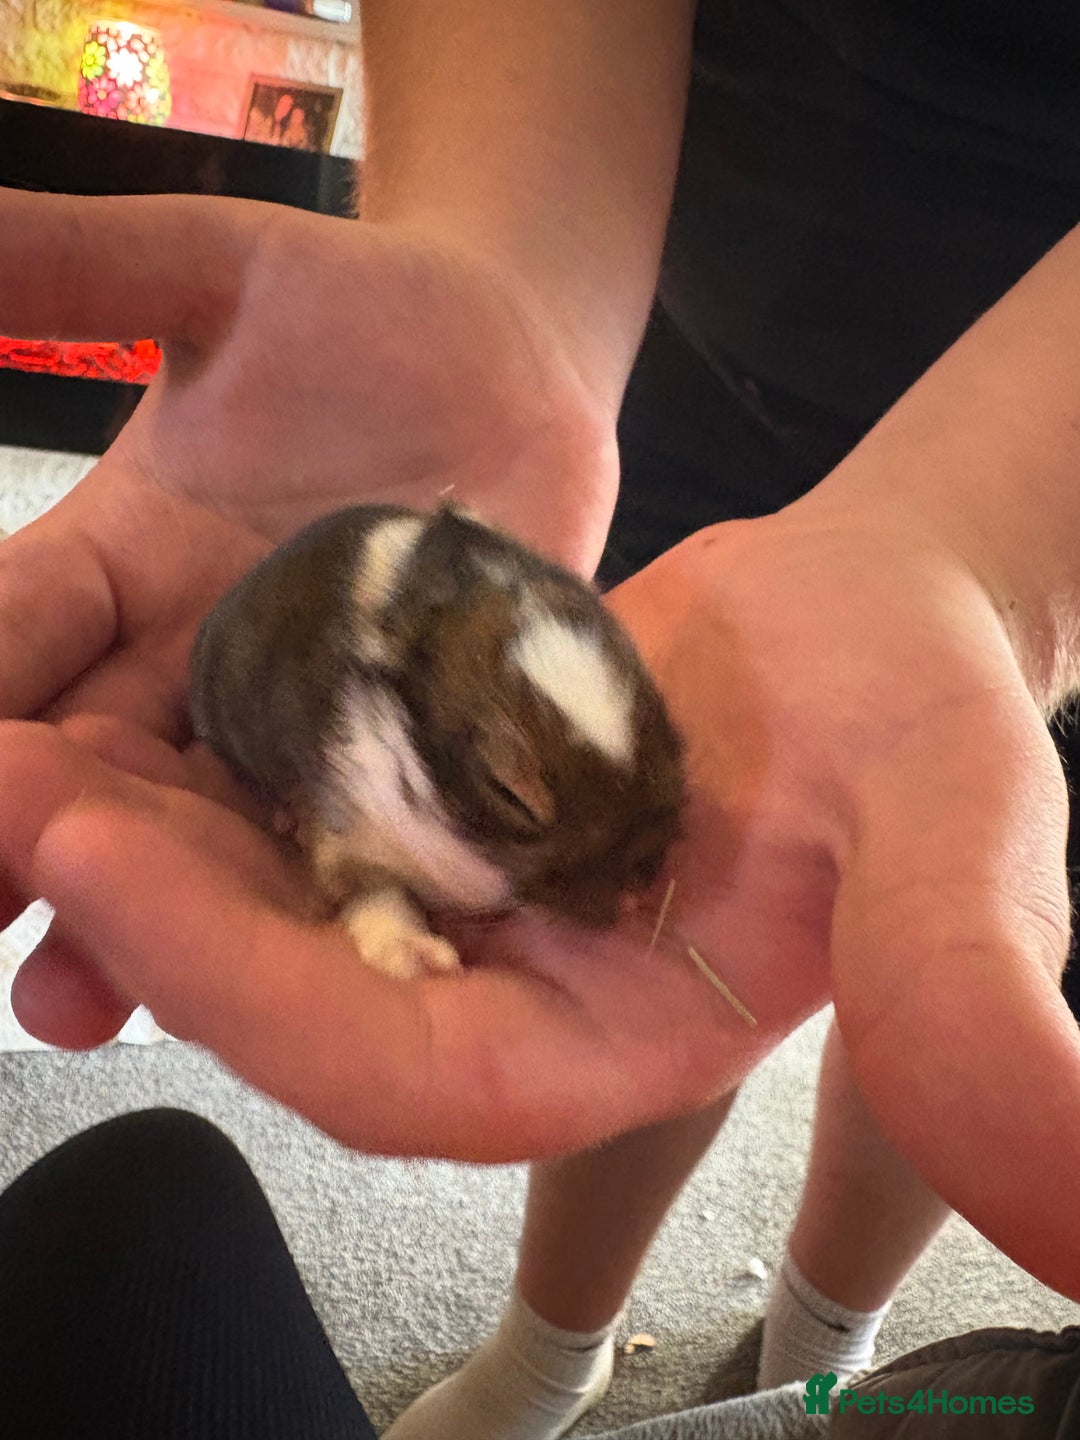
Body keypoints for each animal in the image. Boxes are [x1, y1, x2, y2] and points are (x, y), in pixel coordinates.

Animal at [189, 503, 685, 979]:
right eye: (509, 792)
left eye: (655, 700)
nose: (639, 885)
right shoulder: (345, 835)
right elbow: (374, 896)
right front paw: (417, 957)